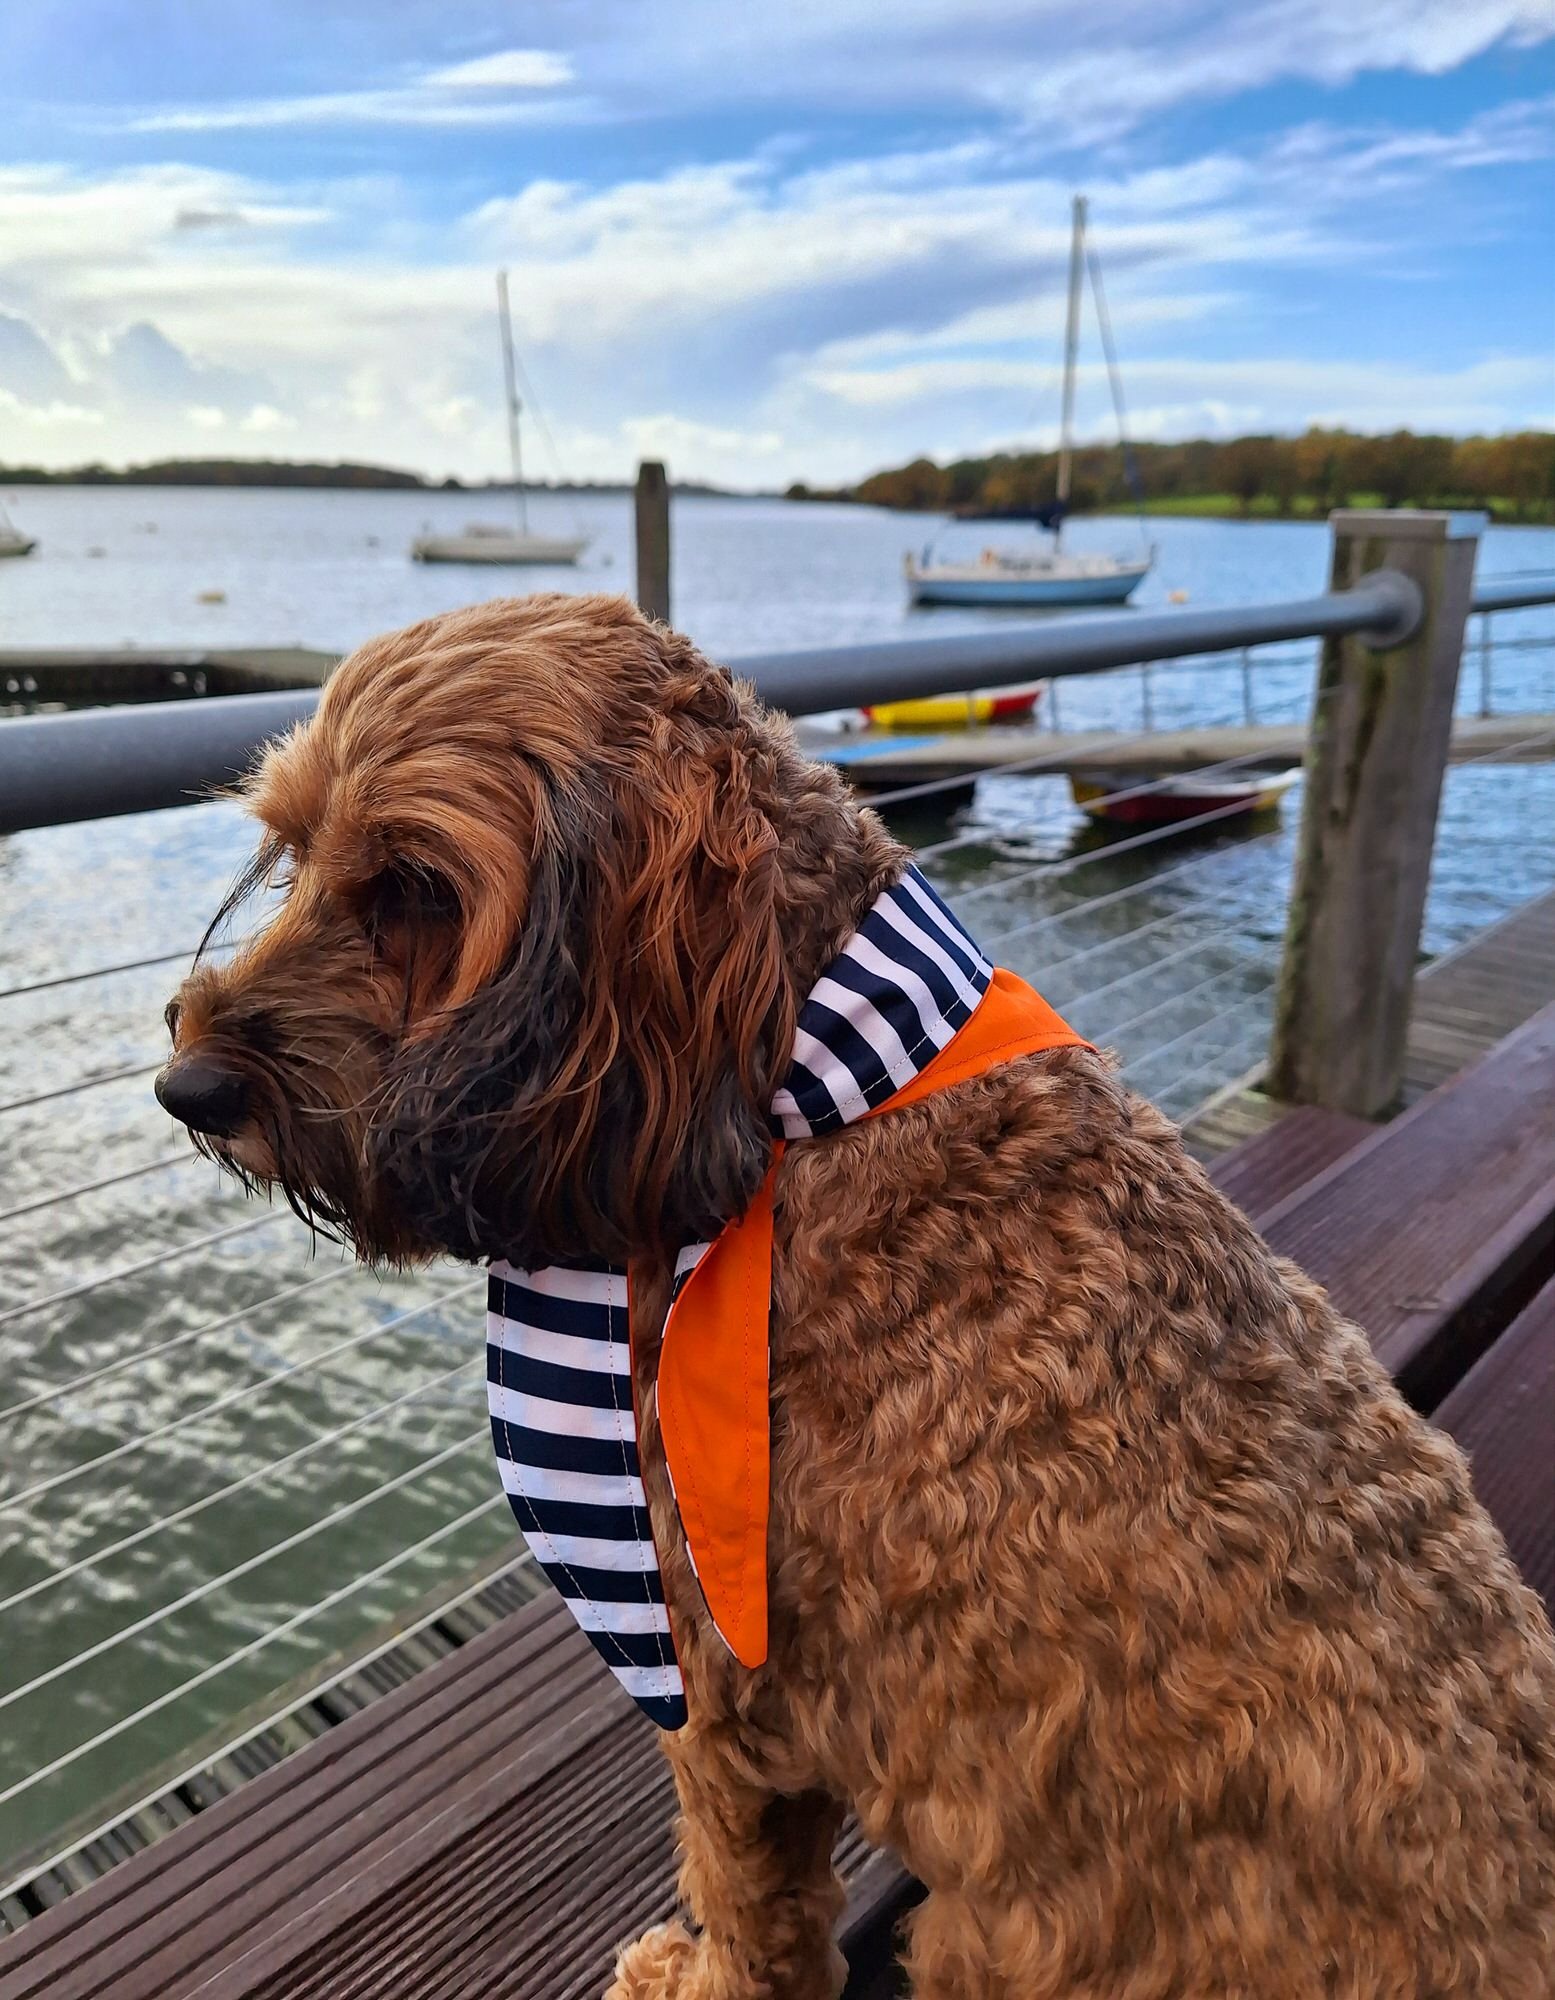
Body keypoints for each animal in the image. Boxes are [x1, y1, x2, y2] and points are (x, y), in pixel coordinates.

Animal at [160, 592, 1551, 2000]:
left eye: (413, 887)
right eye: (295, 851)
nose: (187, 1085)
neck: (812, 1102)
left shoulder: (718, 1689)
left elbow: (750, 1908)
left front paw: (694, 1976)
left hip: (973, 1935)